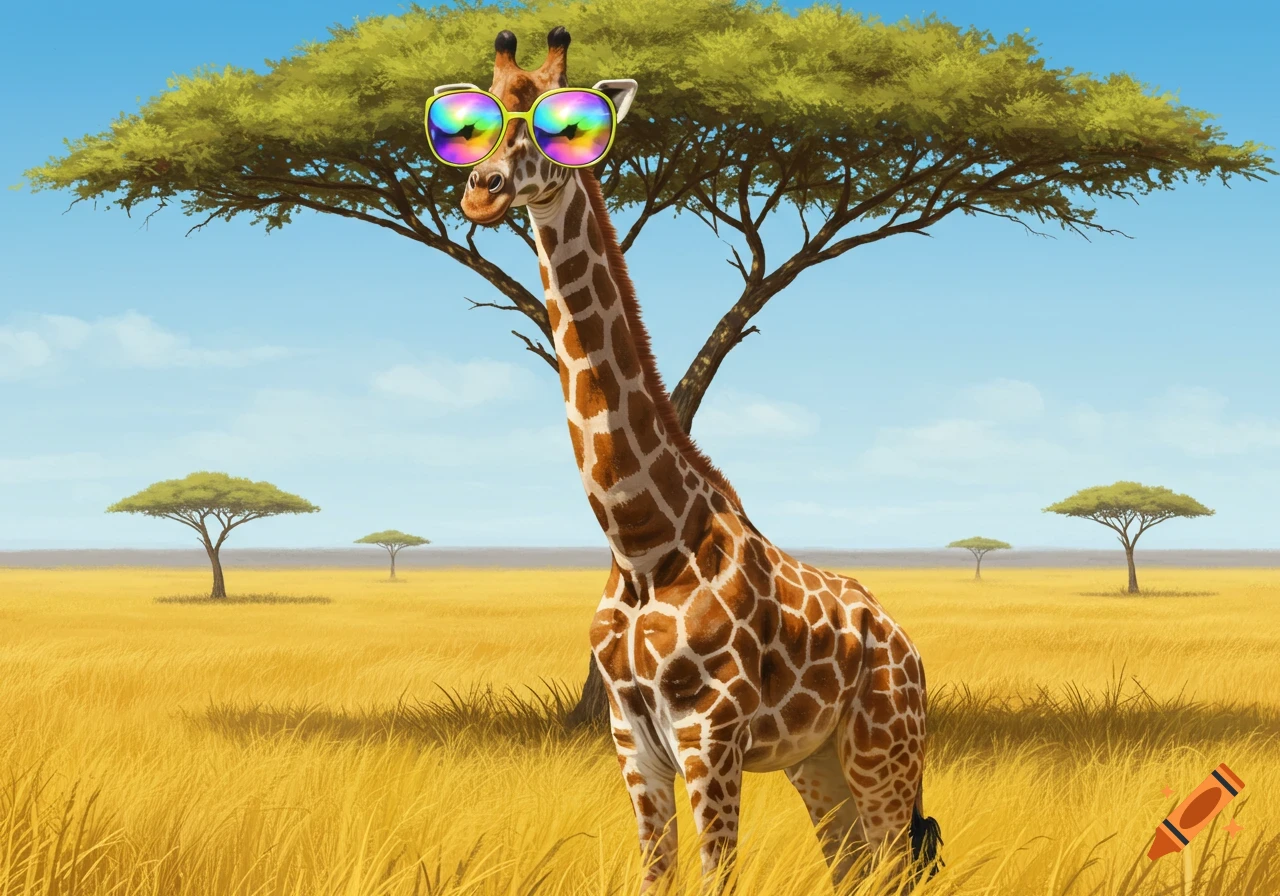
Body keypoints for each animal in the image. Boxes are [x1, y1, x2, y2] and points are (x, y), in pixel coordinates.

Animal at [446, 26, 943, 894]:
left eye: (564, 125)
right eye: (472, 119)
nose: (483, 190)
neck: (643, 540)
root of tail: (905, 645)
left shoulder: (712, 739)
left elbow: (716, 876)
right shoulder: (632, 743)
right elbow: (657, 874)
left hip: (884, 752)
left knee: (893, 866)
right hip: (818, 765)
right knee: (853, 868)